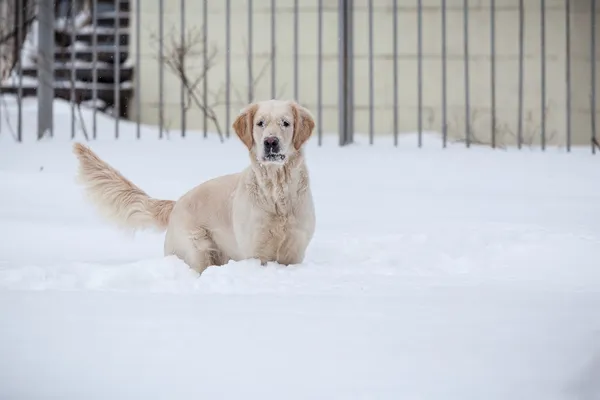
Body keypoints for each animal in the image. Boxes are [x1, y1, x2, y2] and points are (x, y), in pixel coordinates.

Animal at [72, 100, 316, 276]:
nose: (270, 142)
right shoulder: (255, 253)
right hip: (197, 250)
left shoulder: (295, 251)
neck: (277, 191)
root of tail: (176, 203)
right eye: (260, 123)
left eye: (286, 123)